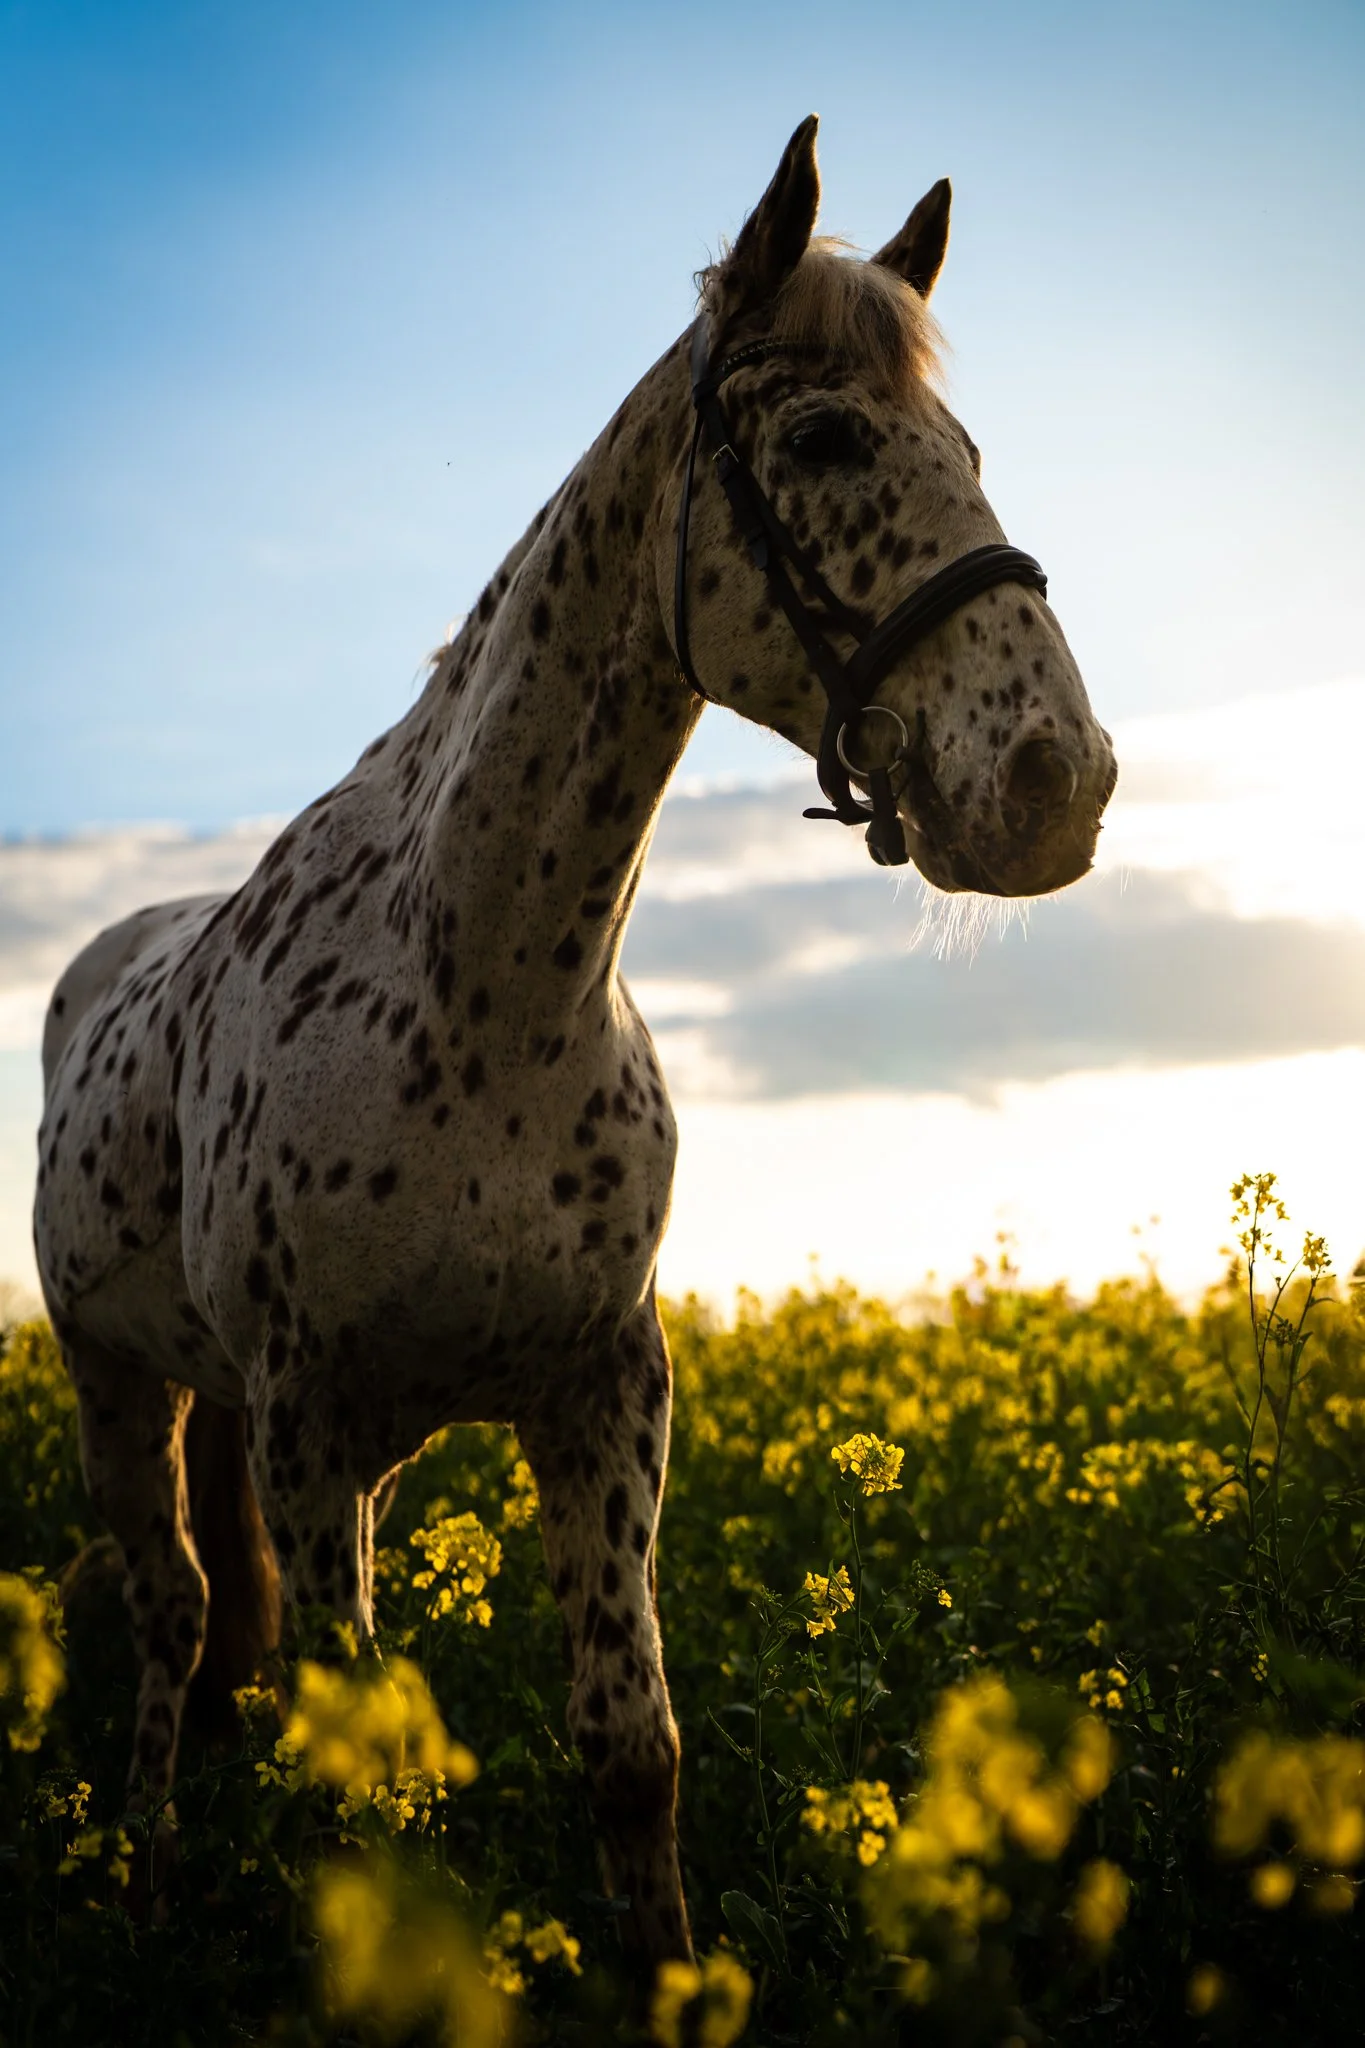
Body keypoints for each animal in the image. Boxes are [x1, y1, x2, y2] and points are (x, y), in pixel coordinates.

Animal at [32, 116, 1115, 1962]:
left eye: (967, 446)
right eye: (823, 436)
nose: (1059, 780)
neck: (481, 992)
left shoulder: (601, 1391)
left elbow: (630, 1750)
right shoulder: (311, 1421)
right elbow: (366, 1770)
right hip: (130, 1390)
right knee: (170, 1621)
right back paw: (153, 1879)